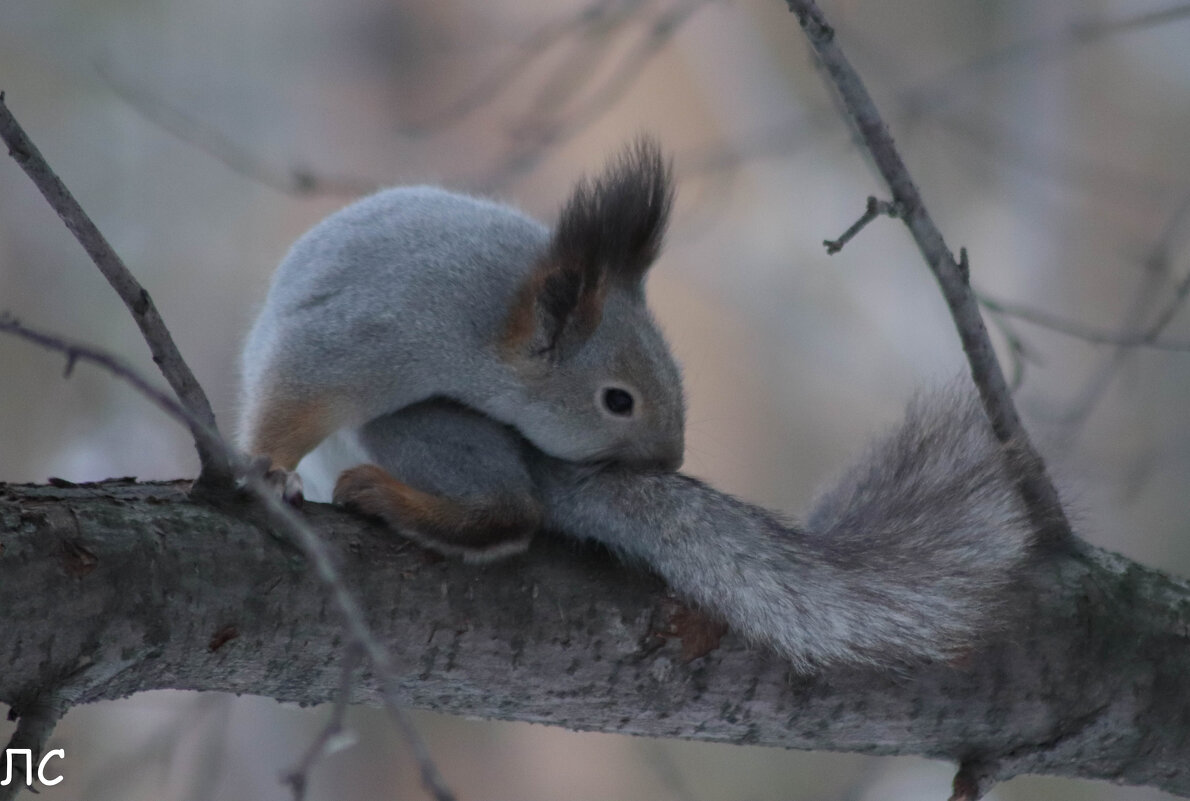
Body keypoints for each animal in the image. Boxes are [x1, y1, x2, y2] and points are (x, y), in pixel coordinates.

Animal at [238, 137, 685, 559]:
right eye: (618, 401)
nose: (670, 461)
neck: (490, 327)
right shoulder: (370, 332)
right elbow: (293, 394)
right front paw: (272, 470)